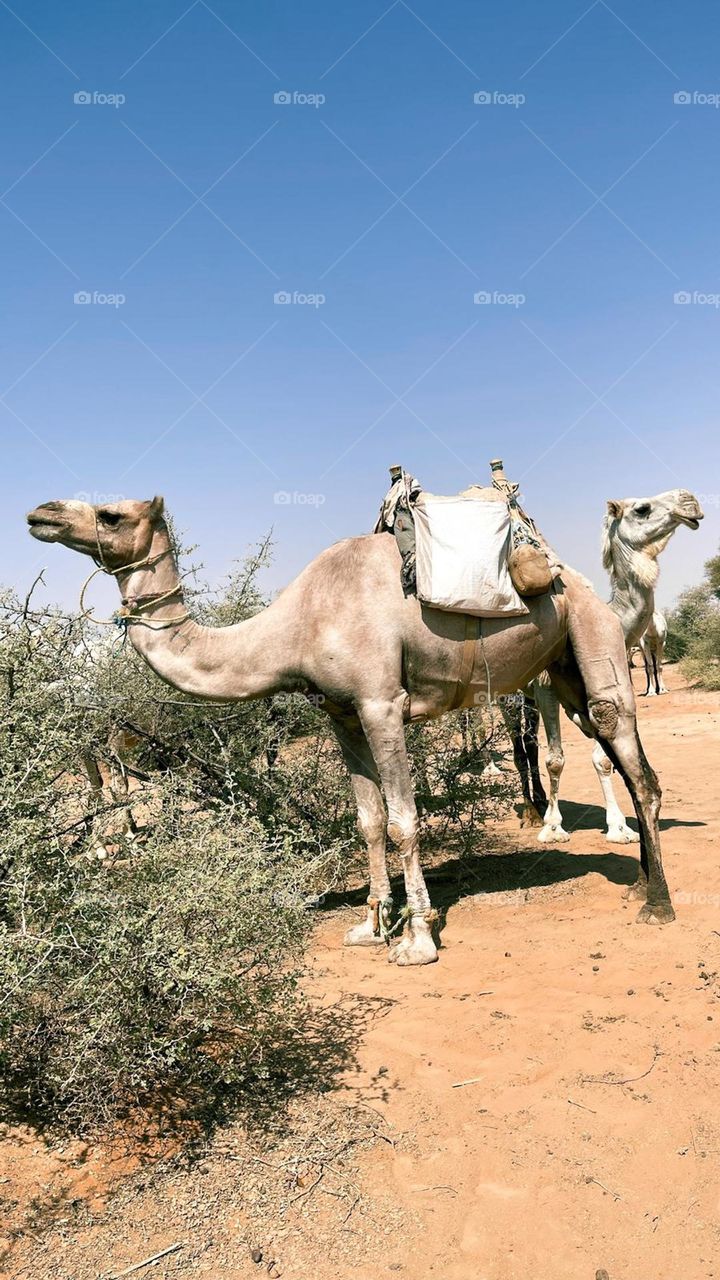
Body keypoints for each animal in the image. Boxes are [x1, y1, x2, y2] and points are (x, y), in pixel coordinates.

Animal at [28, 493, 676, 964]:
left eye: (111, 514)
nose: (41, 514)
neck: (297, 625)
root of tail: (593, 594)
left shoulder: (380, 702)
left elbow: (403, 819)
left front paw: (417, 940)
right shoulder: (341, 714)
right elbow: (367, 820)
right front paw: (371, 925)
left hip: (592, 638)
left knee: (635, 761)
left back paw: (659, 905)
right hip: (561, 670)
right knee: (617, 754)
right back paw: (638, 882)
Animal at [517, 490, 702, 845]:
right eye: (642, 508)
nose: (690, 501)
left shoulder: (595, 697)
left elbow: (603, 759)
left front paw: (619, 827)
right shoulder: (547, 690)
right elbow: (555, 759)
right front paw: (553, 828)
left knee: (528, 745)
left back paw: (539, 803)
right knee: (521, 748)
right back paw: (533, 813)